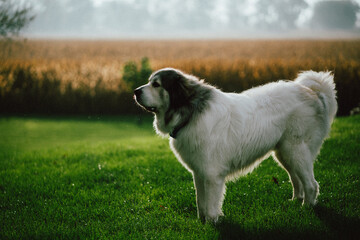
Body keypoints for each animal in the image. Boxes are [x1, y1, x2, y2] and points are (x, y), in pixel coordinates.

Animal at [133, 67, 338, 223]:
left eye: (156, 84)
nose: (135, 91)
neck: (190, 112)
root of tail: (313, 92)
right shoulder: (199, 173)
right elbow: (200, 201)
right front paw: (202, 222)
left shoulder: (211, 175)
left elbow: (211, 203)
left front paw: (212, 223)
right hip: (285, 153)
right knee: (297, 180)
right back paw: (295, 201)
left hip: (295, 150)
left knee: (311, 184)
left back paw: (307, 209)